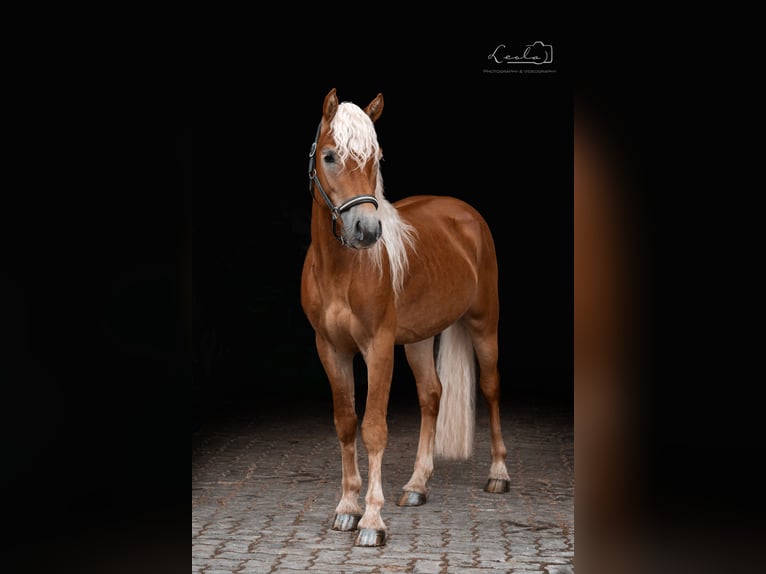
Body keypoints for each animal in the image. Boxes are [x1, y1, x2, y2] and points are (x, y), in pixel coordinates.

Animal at [300, 89, 510, 548]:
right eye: (329, 156)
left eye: (375, 158)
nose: (366, 231)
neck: (342, 270)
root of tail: (465, 215)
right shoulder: (330, 349)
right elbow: (346, 423)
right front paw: (347, 508)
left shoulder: (378, 347)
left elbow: (374, 428)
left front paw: (372, 521)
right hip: (417, 339)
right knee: (432, 395)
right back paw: (416, 485)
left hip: (484, 324)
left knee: (490, 389)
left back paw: (499, 475)